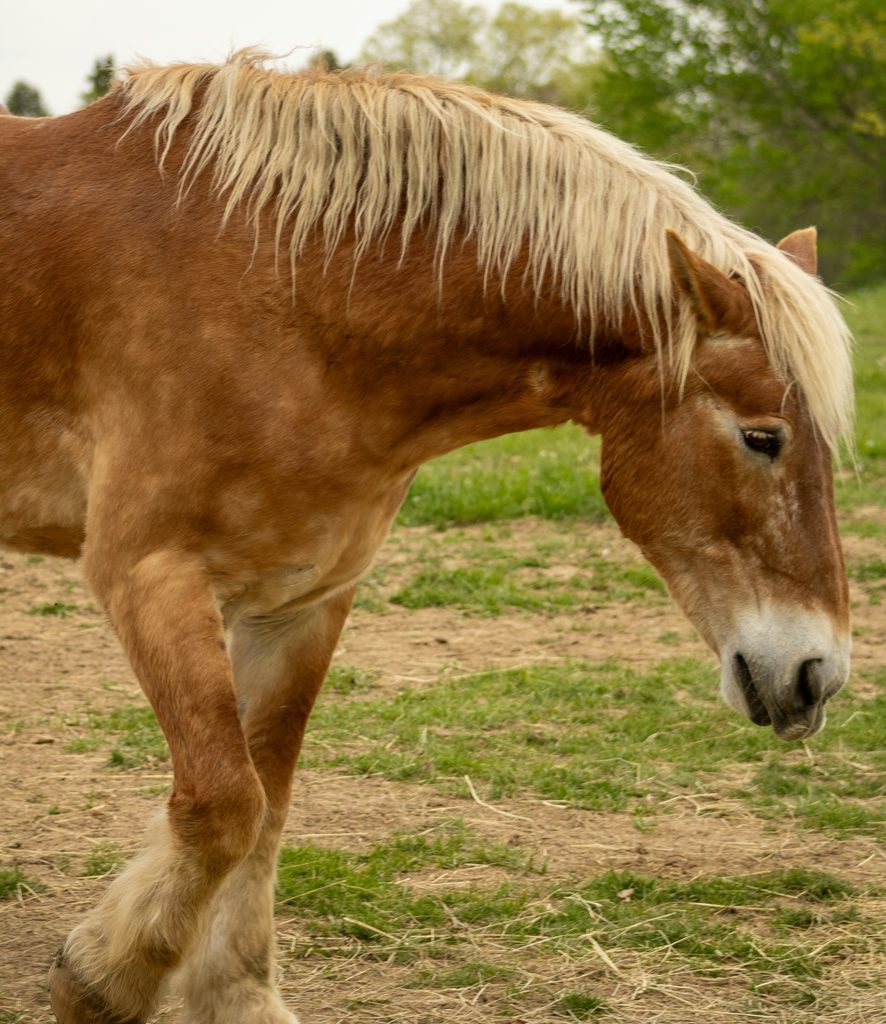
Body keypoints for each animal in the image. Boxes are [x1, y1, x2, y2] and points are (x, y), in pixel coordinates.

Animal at [0, 51, 853, 1024]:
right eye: (762, 437)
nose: (817, 675)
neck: (288, 295)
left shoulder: (305, 600)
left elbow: (269, 798)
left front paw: (235, 991)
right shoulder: (148, 573)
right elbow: (222, 801)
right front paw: (103, 979)